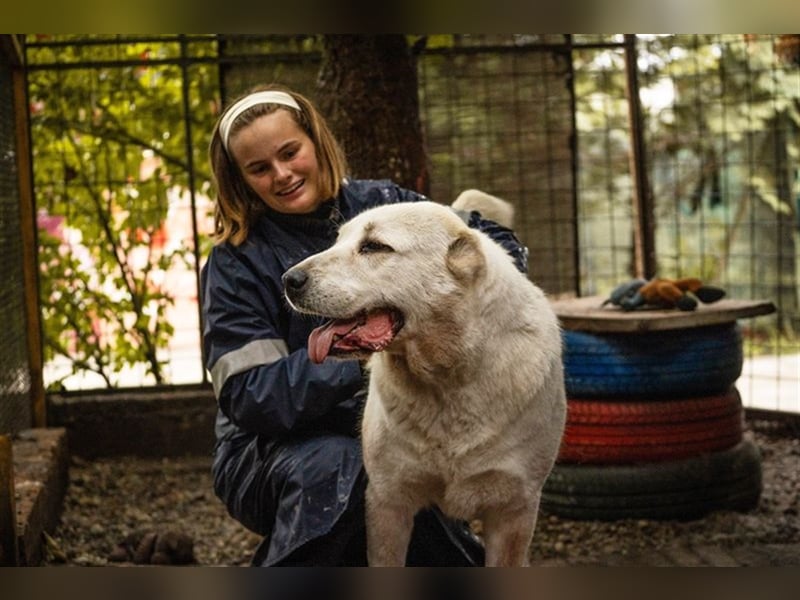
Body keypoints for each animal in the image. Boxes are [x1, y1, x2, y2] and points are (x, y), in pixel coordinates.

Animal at [284, 195, 564, 564]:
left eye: (374, 246)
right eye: (336, 241)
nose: (289, 280)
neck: (447, 380)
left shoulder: (514, 511)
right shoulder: (388, 500)